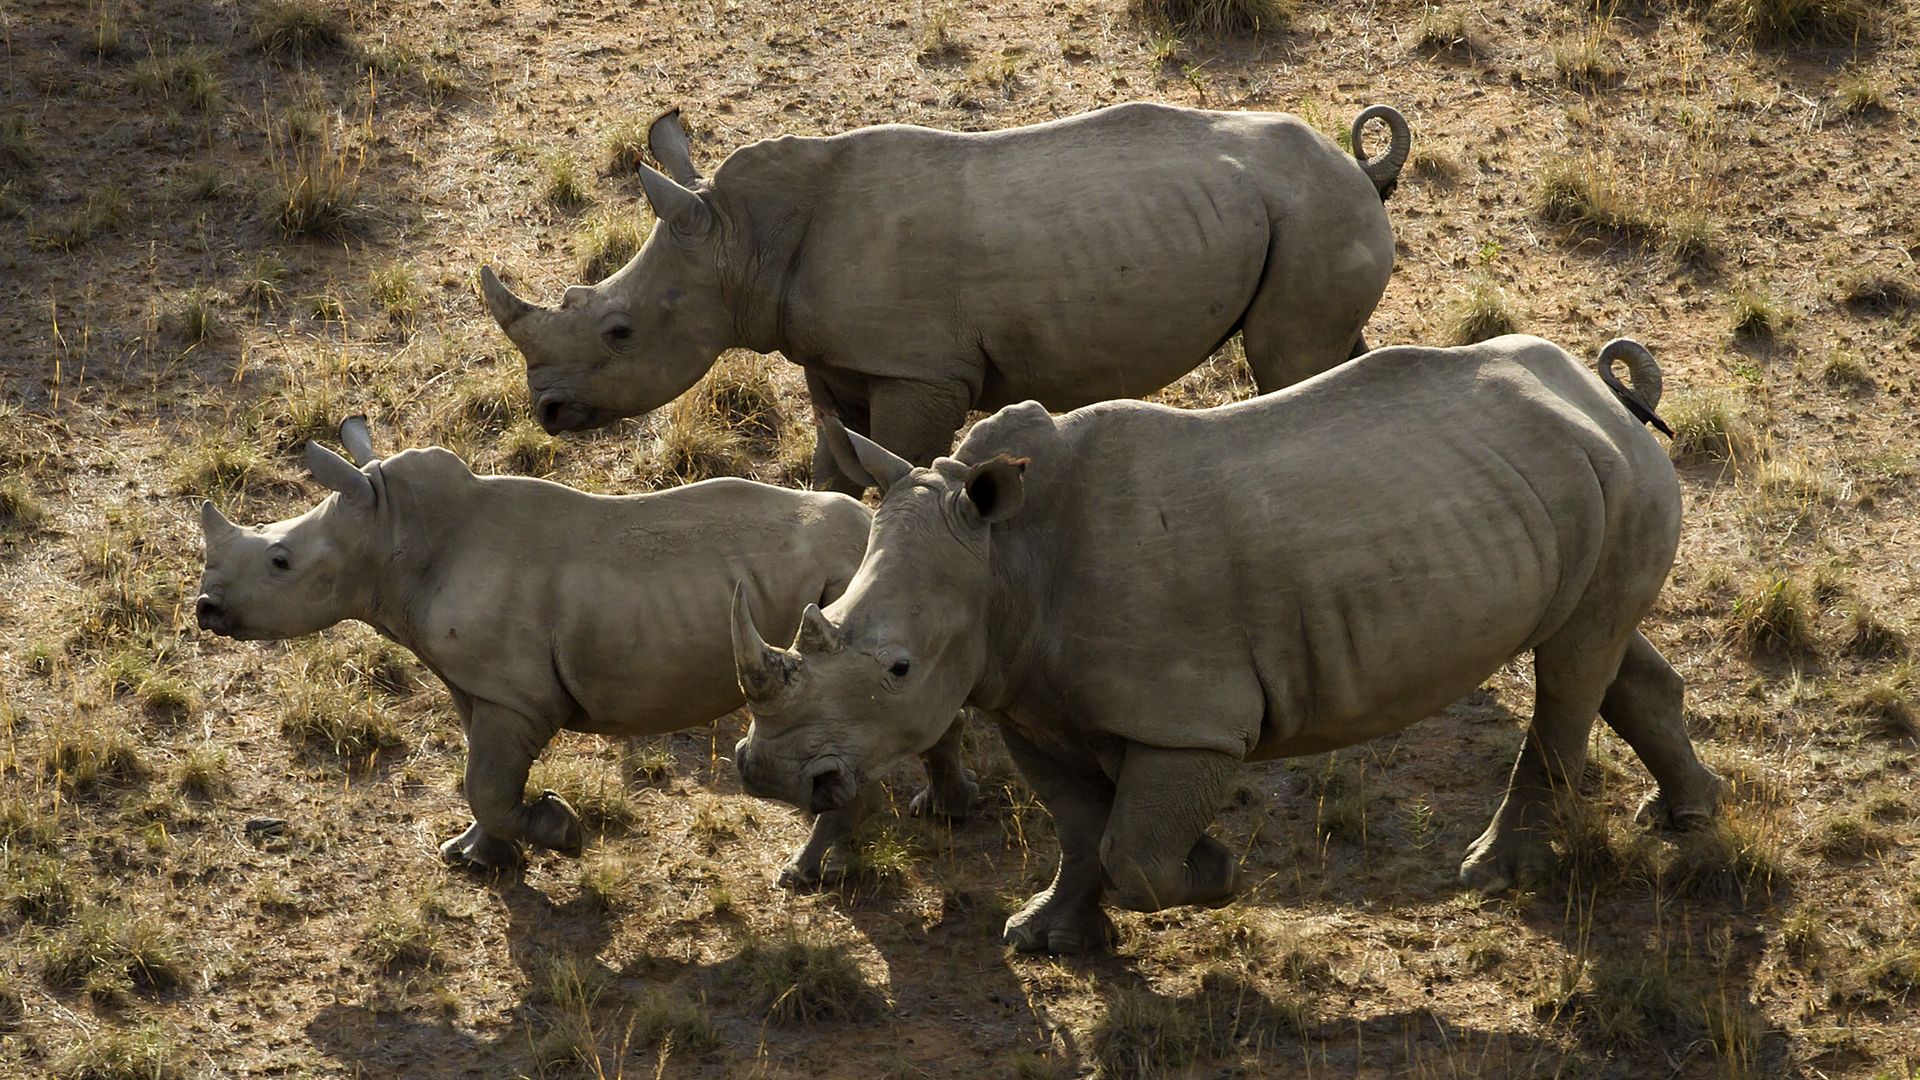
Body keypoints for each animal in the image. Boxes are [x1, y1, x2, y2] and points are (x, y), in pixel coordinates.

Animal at [194, 418, 975, 882]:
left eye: (280, 563)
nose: (205, 610)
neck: (392, 534)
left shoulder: (517, 696)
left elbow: (489, 783)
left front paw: (561, 834)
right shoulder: (481, 684)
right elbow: (483, 779)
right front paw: (473, 858)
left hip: (850, 591)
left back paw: (802, 875)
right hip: (882, 593)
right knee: (918, 695)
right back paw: (944, 810)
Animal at [479, 101, 1410, 490]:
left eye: (619, 331)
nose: (546, 410)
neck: (741, 241)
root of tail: (1359, 166)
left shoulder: (919, 370)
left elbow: (893, 459)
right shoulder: (840, 357)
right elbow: (834, 462)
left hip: (1313, 211)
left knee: (1287, 362)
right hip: (1304, 216)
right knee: (1324, 355)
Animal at [728, 335, 1727, 954]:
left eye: (898, 670)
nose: (769, 774)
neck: (1003, 560)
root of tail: (1606, 394)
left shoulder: (1190, 722)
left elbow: (1133, 850)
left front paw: (1211, 871)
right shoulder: (1023, 695)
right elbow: (1080, 828)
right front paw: (1048, 940)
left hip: (1614, 477)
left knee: (1571, 666)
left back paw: (1494, 876)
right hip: (1574, 485)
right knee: (1599, 644)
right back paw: (1687, 817)